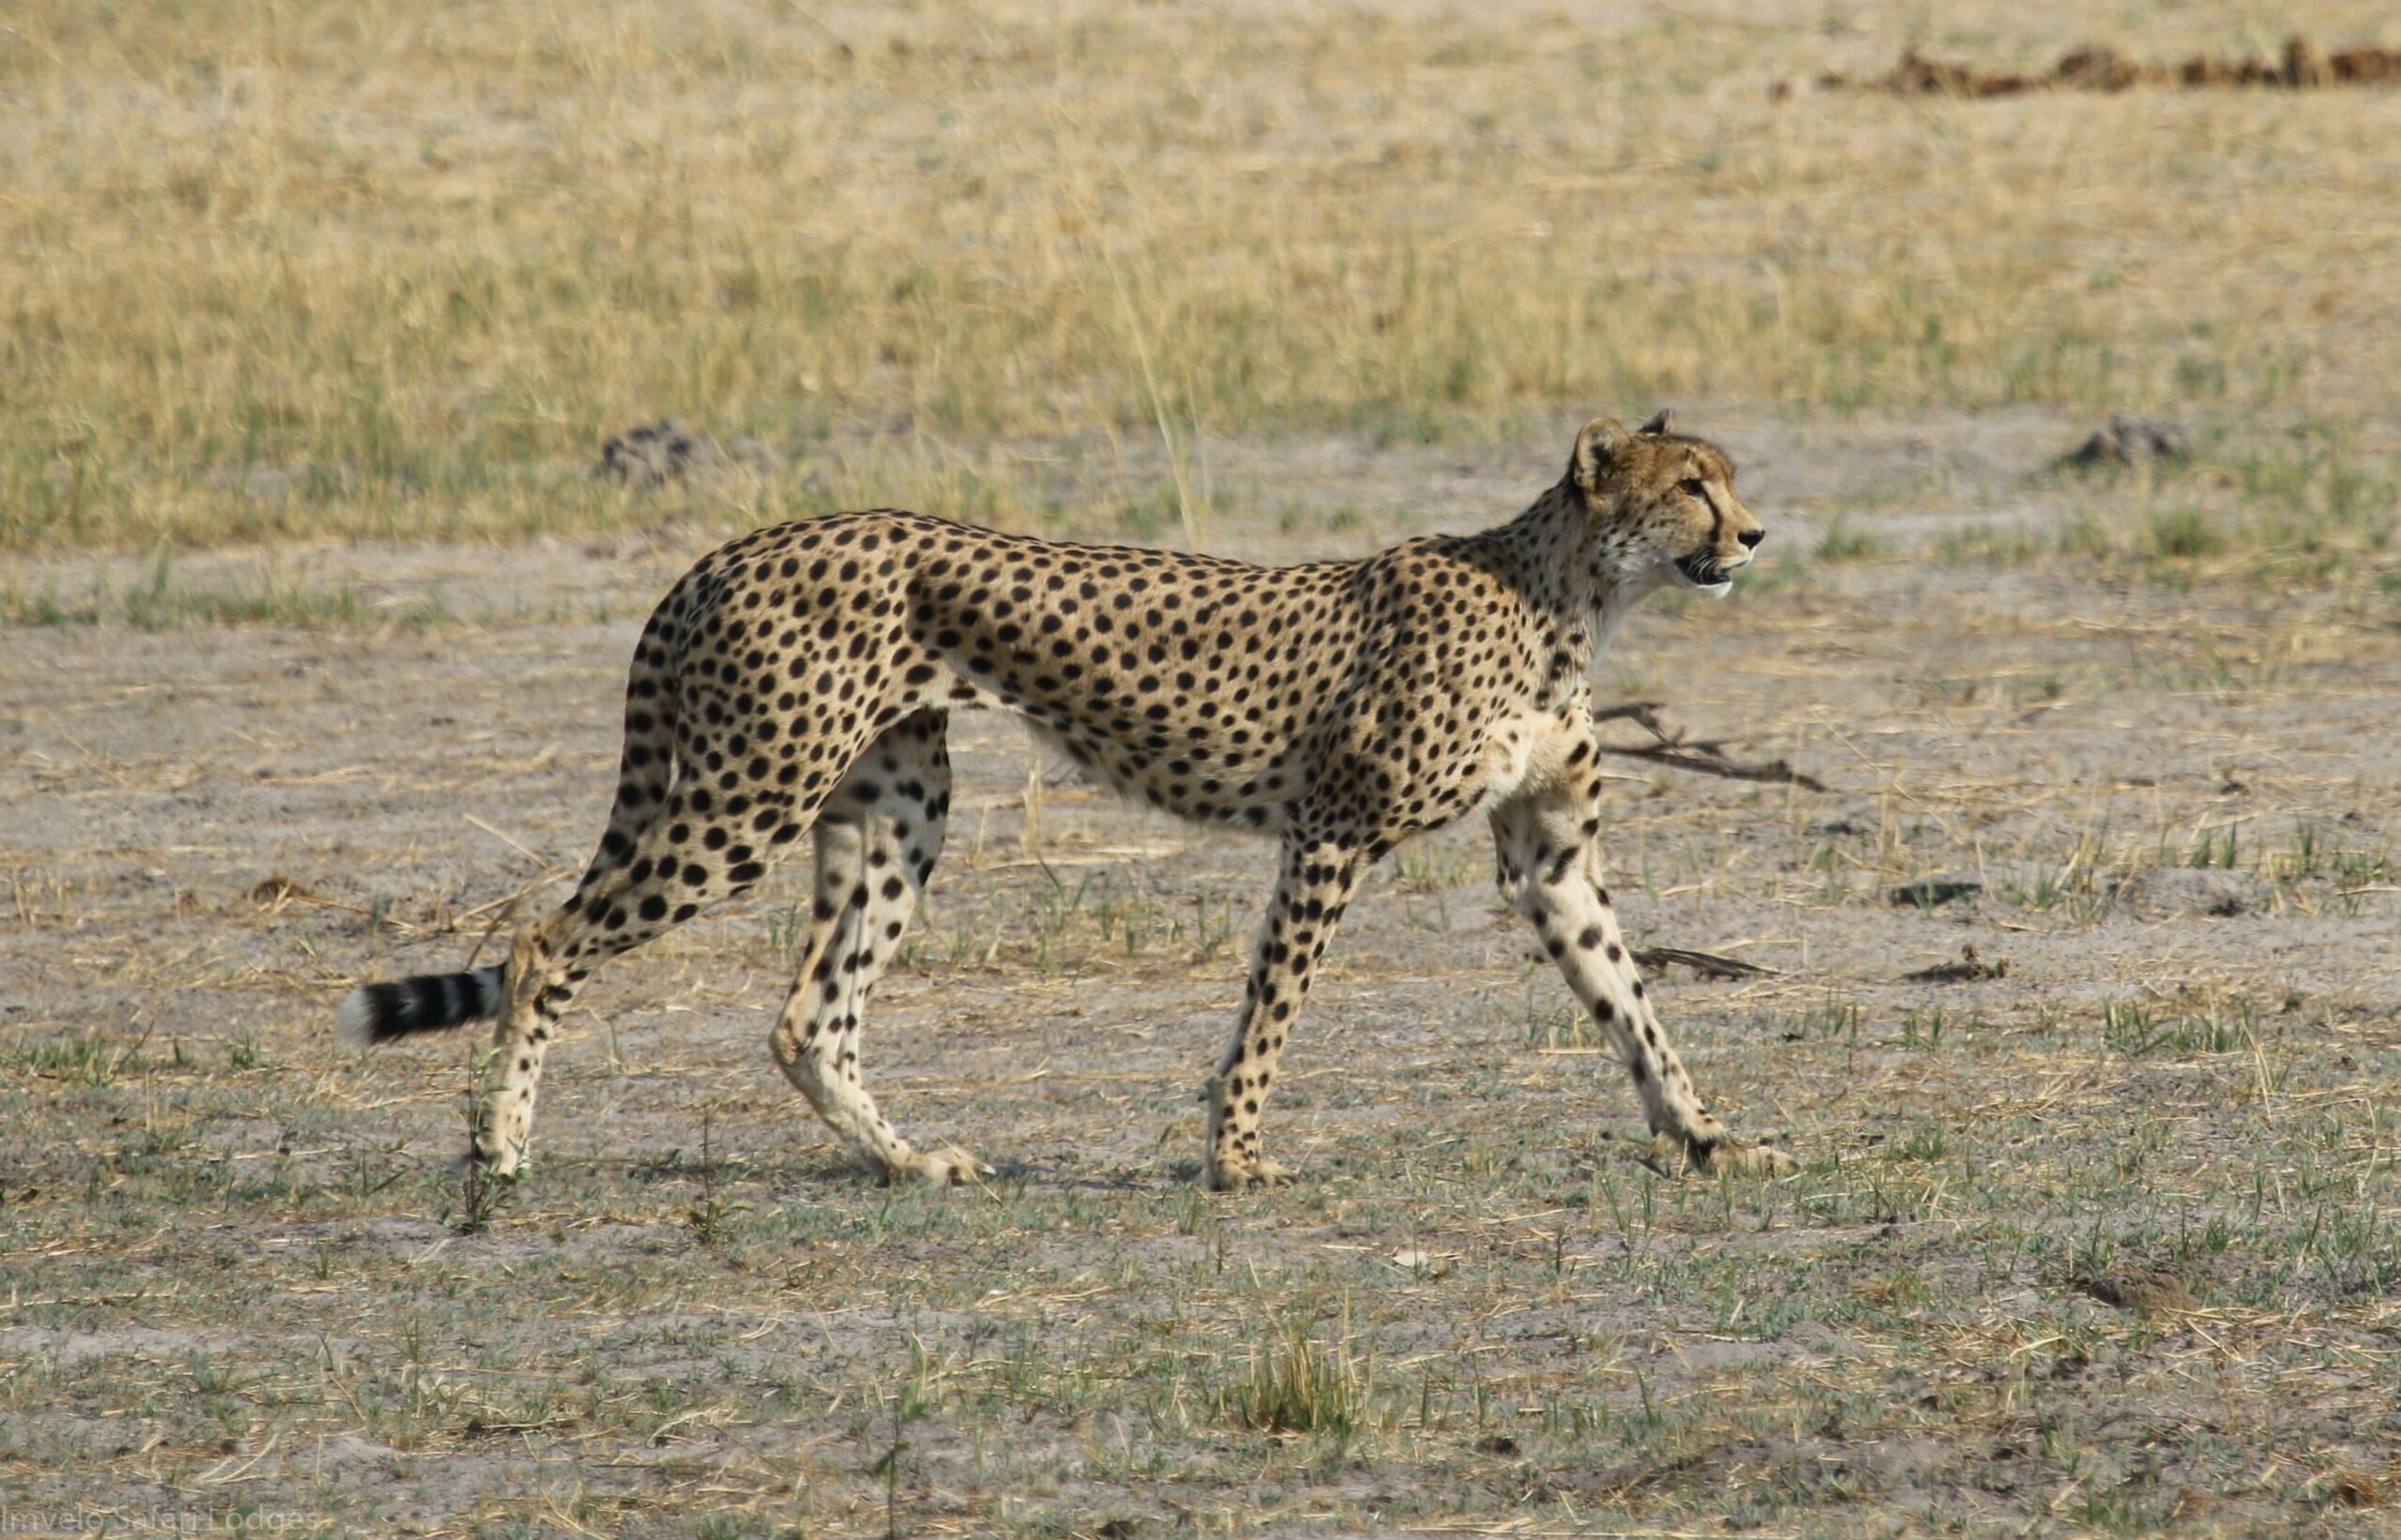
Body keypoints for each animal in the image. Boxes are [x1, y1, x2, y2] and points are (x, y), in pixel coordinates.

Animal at [338, 411, 1789, 1190]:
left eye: (1728, 476)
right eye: (1690, 485)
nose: (1755, 534)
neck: (1570, 597)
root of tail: (738, 541)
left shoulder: (1551, 854)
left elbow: (1634, 1007)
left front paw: (1708, 1136)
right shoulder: (1333, 830)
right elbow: (1271, 1012)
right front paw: (1235, 1159)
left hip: (896, 806)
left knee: (809, 1015)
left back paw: (908, 1162)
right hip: (753, 792)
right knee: (546, 942)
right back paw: (503, 1151)